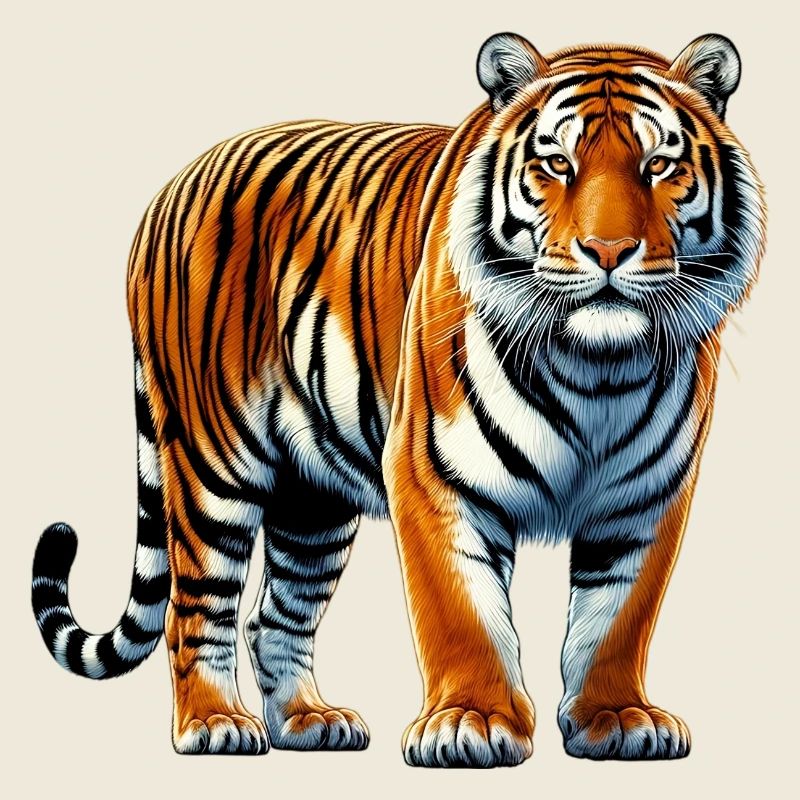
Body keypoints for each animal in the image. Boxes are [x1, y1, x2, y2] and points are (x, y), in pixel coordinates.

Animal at [32, 32, 765, 766]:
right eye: (557, 163)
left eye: (659, 164)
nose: (608, 250)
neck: (599, 369)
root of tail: (172, 185)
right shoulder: (434, 474)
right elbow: (462, 611)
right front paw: (472, 721)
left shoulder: (649, 496)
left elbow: (616, 618)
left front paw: (616, 718)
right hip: (213, 464)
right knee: (197, 607)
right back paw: (214, 723)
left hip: (312, 497)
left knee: (275, 615)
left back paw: (307, 721)